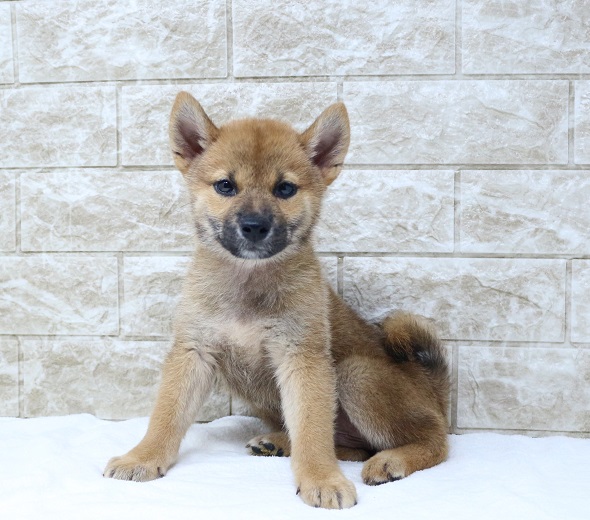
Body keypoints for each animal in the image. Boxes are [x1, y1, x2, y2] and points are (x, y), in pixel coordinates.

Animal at [104, 92, 450, 508]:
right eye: (225, 186)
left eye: (285, 189)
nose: (254, 226)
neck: (248, 282)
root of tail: (432, 386)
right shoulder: (193, 352)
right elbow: (166, 414)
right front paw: (144, 457)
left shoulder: (301, 357)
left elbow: (312, 431)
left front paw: (321, 479)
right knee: (351, 445)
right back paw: (279, 443)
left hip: (356, 376)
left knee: (434, 440)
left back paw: (391, 461)